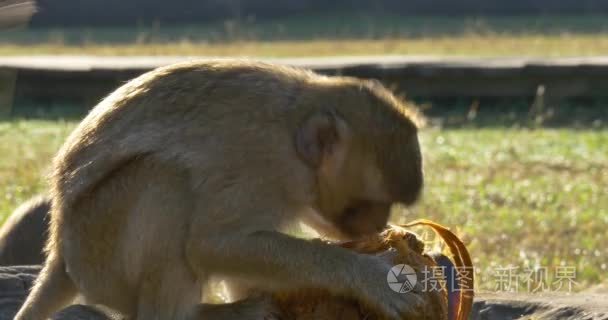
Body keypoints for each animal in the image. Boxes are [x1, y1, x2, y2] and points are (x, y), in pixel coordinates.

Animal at [14, 59, 422, 320]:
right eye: (370, 204)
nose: (376, 224)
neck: (294, 130)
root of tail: (61, 252)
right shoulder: (265, 166)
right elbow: (210, 245)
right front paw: (367, 276)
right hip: (98, 250)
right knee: (165, 181)